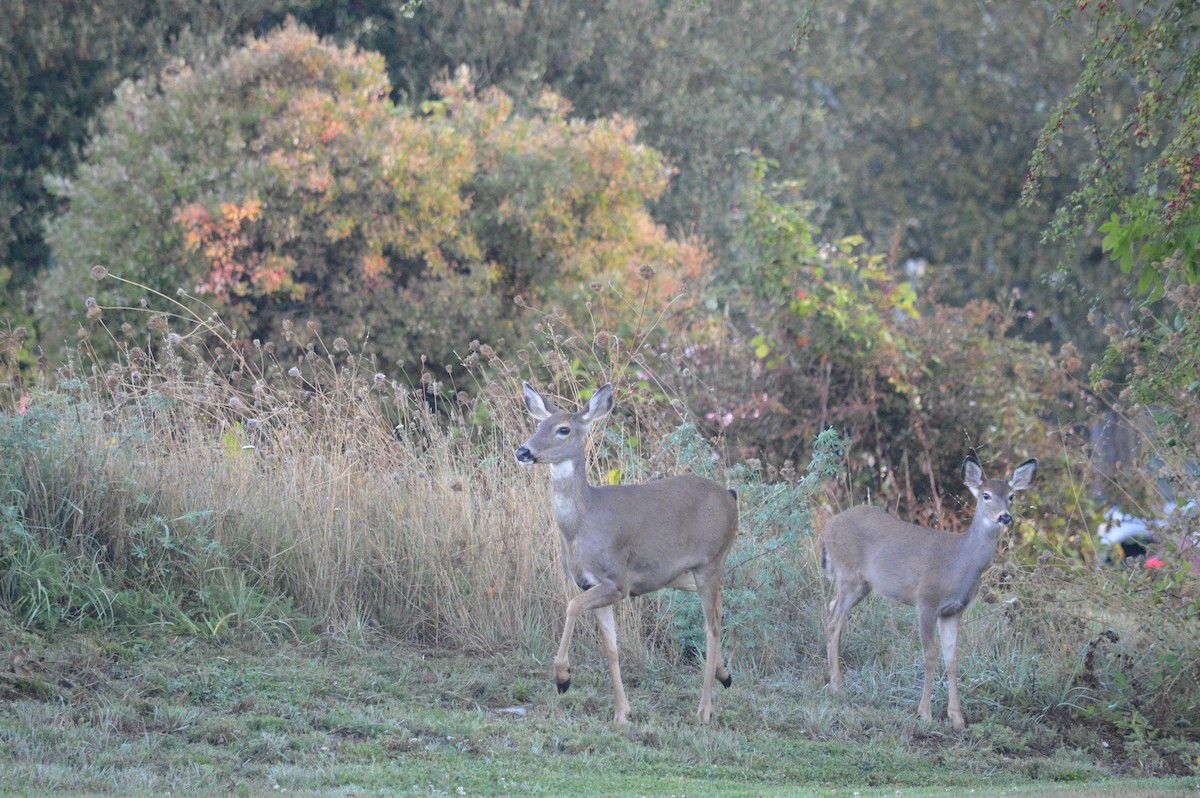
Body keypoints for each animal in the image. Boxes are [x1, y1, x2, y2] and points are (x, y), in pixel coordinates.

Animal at [514, 382, 738, 724]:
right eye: (538, 425)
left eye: (563, 429)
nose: (523, 451)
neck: (583, 525)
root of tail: (731, 496)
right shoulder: (592, 584)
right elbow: (611, 648)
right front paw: (622, 713)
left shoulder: (616, 581)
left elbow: (571, 606)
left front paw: (563, 678)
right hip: (685, 573)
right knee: (719, 607)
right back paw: (724, 675)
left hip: (710, 561)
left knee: (710, 627)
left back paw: (704, 710)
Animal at [822, 454, 1037, 730]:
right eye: (986, 495)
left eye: (1011, 496)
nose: (1005, 517)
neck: (958, 564)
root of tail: (828, 526)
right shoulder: (926, 602)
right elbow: (930, 656)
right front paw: (925, 713)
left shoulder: (954, 611)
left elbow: (953, 659)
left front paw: (957, 717)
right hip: (848, 574)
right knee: (834, 620)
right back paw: (836, 685)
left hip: (862, 585)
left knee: (832, 609)